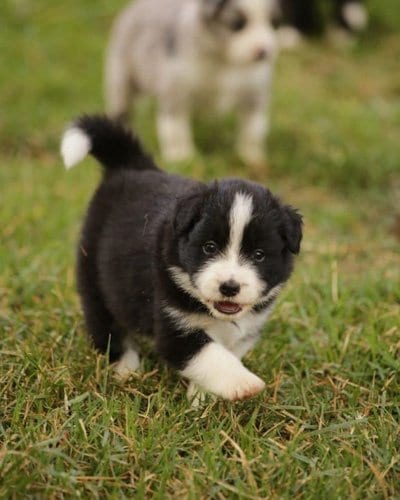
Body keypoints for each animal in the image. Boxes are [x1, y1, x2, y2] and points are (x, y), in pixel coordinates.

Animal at [61, 115, 302, 404]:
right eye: (209, 247)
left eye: (259, 254)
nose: (229, 287)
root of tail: (131, 166)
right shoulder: (173, 324)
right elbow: (210, 355)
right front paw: (243, 383)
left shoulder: (245, 329)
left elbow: (226, 352)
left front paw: (202, 397)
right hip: (96, 277)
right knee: (107, 327)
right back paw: (126, 369)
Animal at [104, 0, 276, 165]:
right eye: (237, 25)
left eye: (274, 23)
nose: (263, 52)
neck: (223, 62)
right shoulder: (176, 90)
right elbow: (175, 128)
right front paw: (181, 157)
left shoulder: (254, 92)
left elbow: (253, 128)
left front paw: (251, 156)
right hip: (123, 81)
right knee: (124, 111)